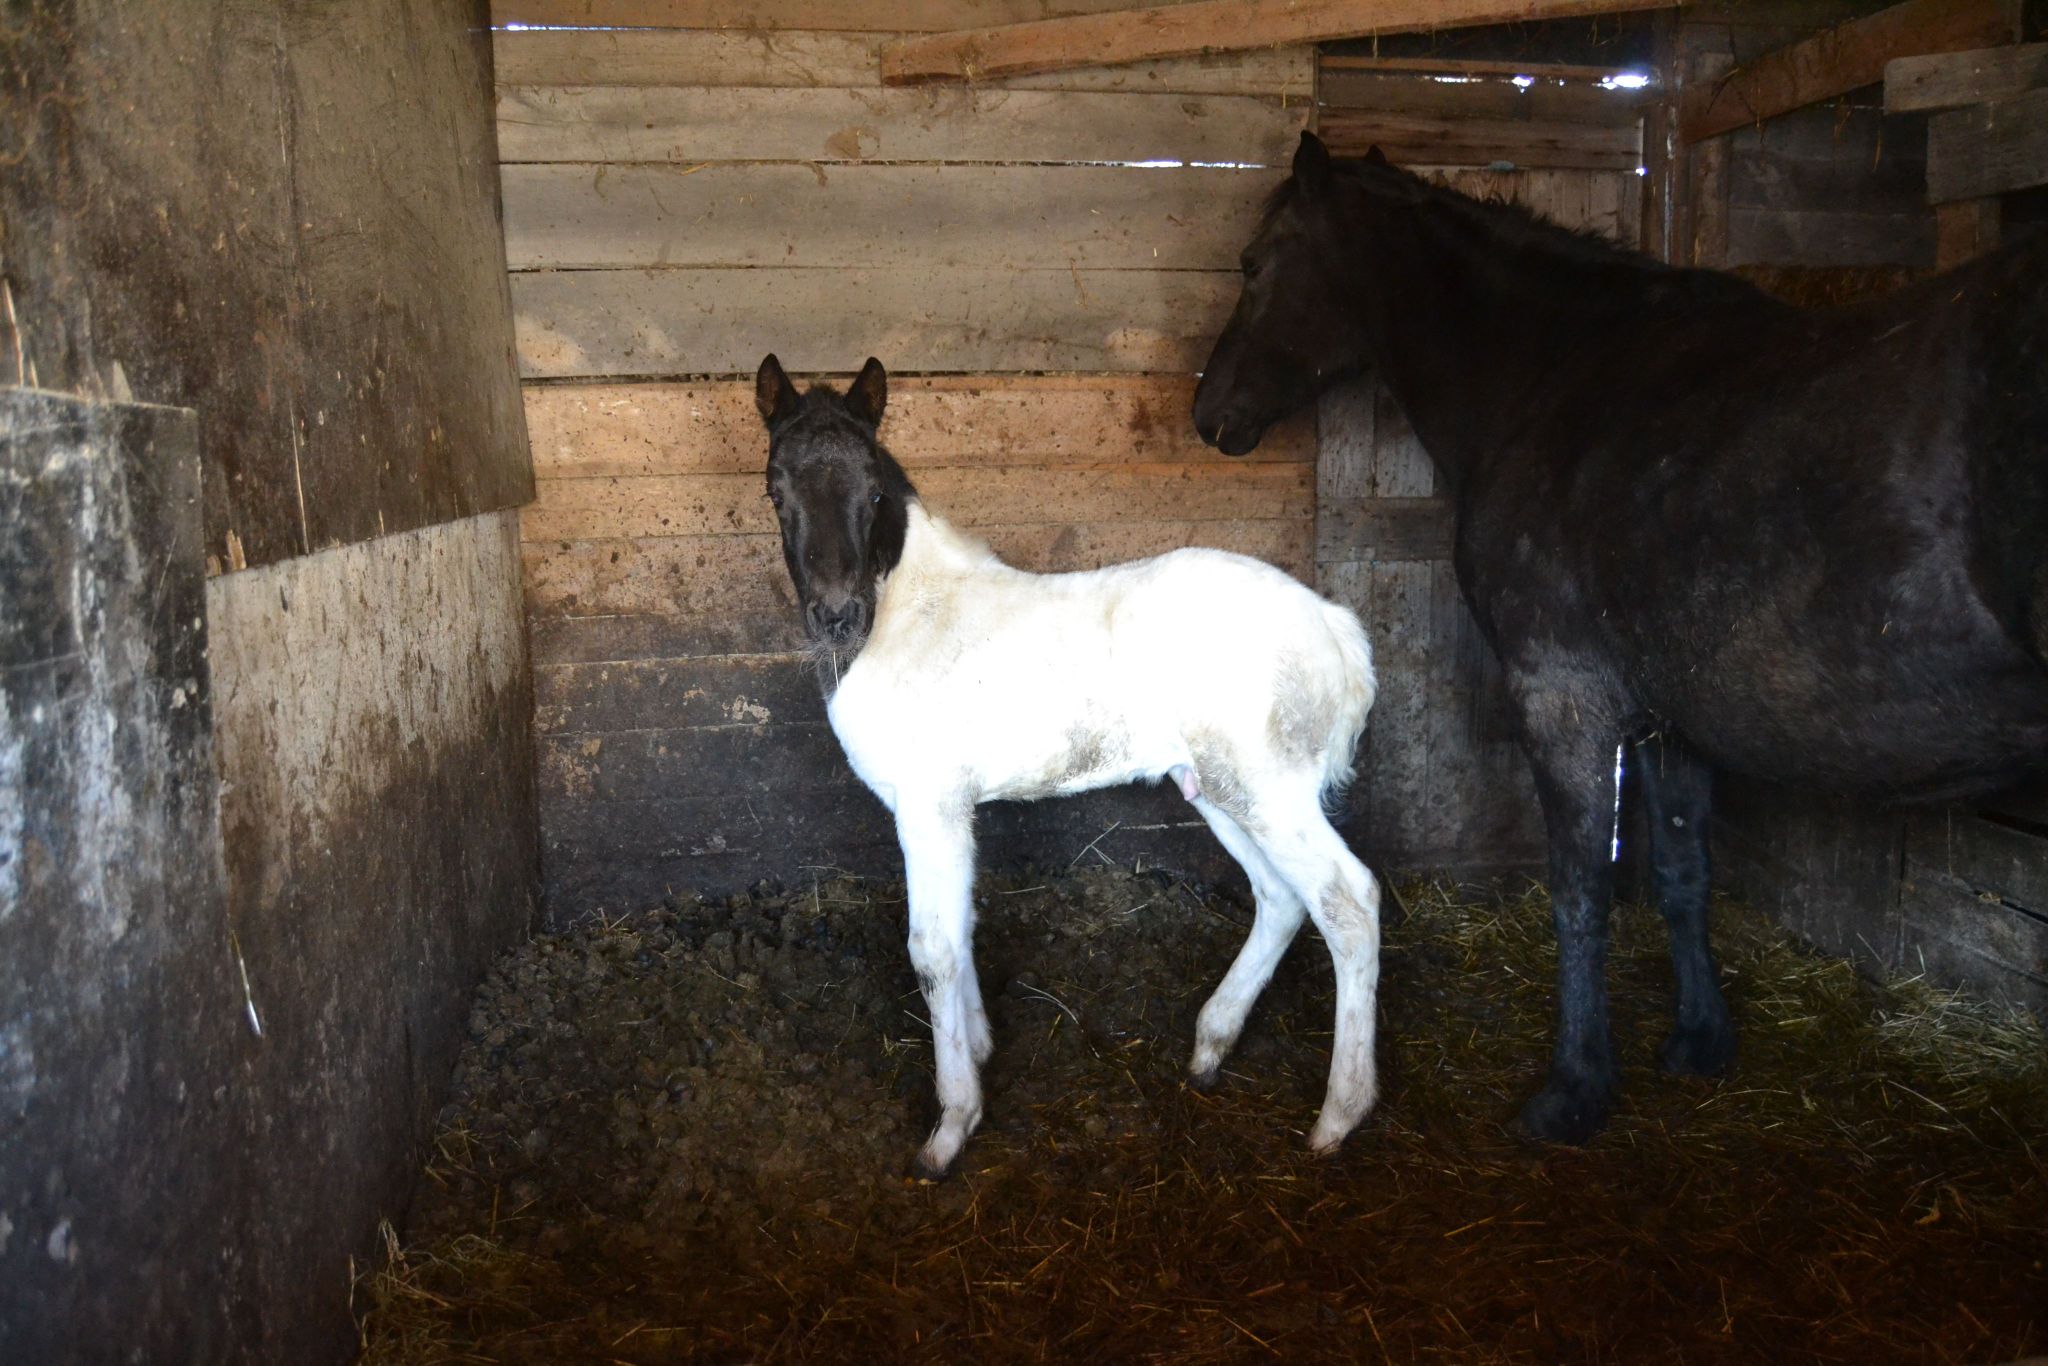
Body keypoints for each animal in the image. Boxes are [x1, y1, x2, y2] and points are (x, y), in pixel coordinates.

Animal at [761, 358, 1384, 1179]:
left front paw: (951, 1127)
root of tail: (1335, 628)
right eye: (776, 489)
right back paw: (1211, 1047)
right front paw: (980, 1052)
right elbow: (963, 927)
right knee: (1280, 896)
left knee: (1347, 901)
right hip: (1217, 788)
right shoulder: (953, 811)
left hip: (1271, 790)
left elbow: (932, 952)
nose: (838, 616)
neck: (909, 616)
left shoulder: (929, 805)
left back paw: (1339, 1116)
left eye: (872, 491)